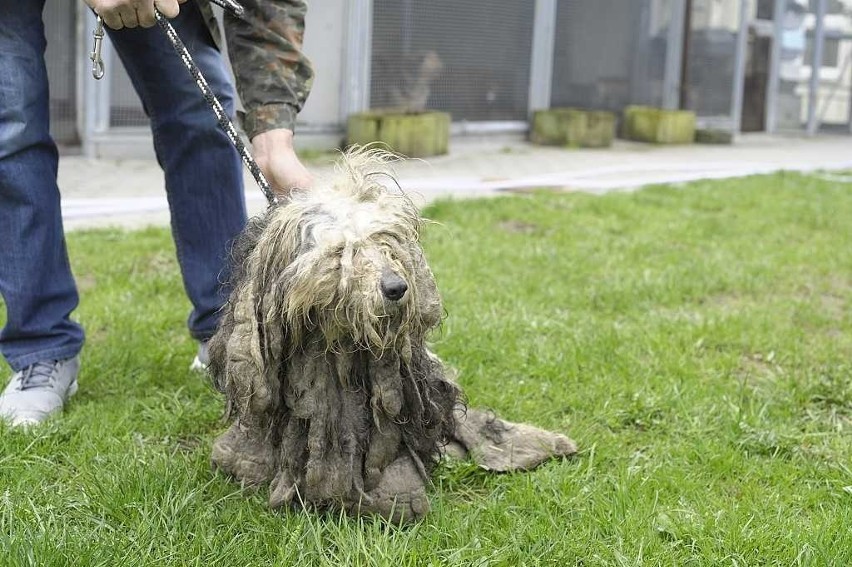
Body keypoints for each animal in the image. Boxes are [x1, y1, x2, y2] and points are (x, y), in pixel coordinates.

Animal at [209, 148, 576, 524]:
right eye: (341, 252)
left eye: (387, 244)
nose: (396, 288)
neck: (335, 352)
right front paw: (246, 462)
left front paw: (394, 497)